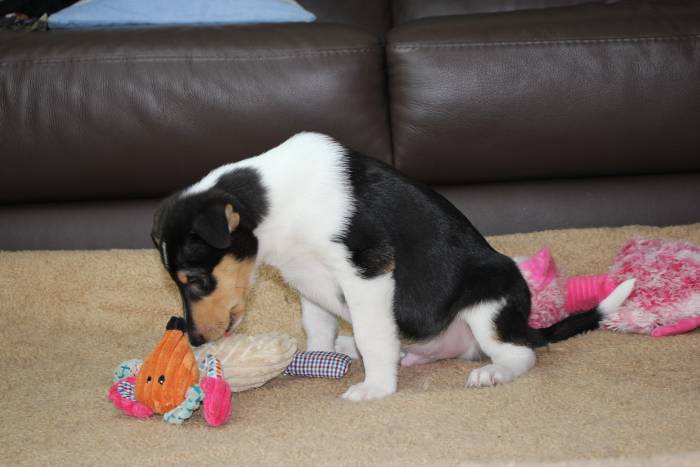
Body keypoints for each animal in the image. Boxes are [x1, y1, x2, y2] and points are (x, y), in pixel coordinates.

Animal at [151, 132, 634, 401]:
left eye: (196, 280)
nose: (195, 340)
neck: (278, 203)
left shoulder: (369, 269)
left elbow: (373, 336)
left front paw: (376, 389)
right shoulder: (308, 282)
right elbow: (318, 328)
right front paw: (318, 358)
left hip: (489, 302)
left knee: (522, 353)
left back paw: (491, 372)